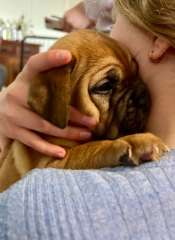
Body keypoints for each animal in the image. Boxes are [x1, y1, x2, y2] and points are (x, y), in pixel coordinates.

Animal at [0, 30, 168, 192]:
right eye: (105, 86)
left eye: (137, 73)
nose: (143, 96)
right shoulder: (50, 163)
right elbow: (91, 148)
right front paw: (135, 141)